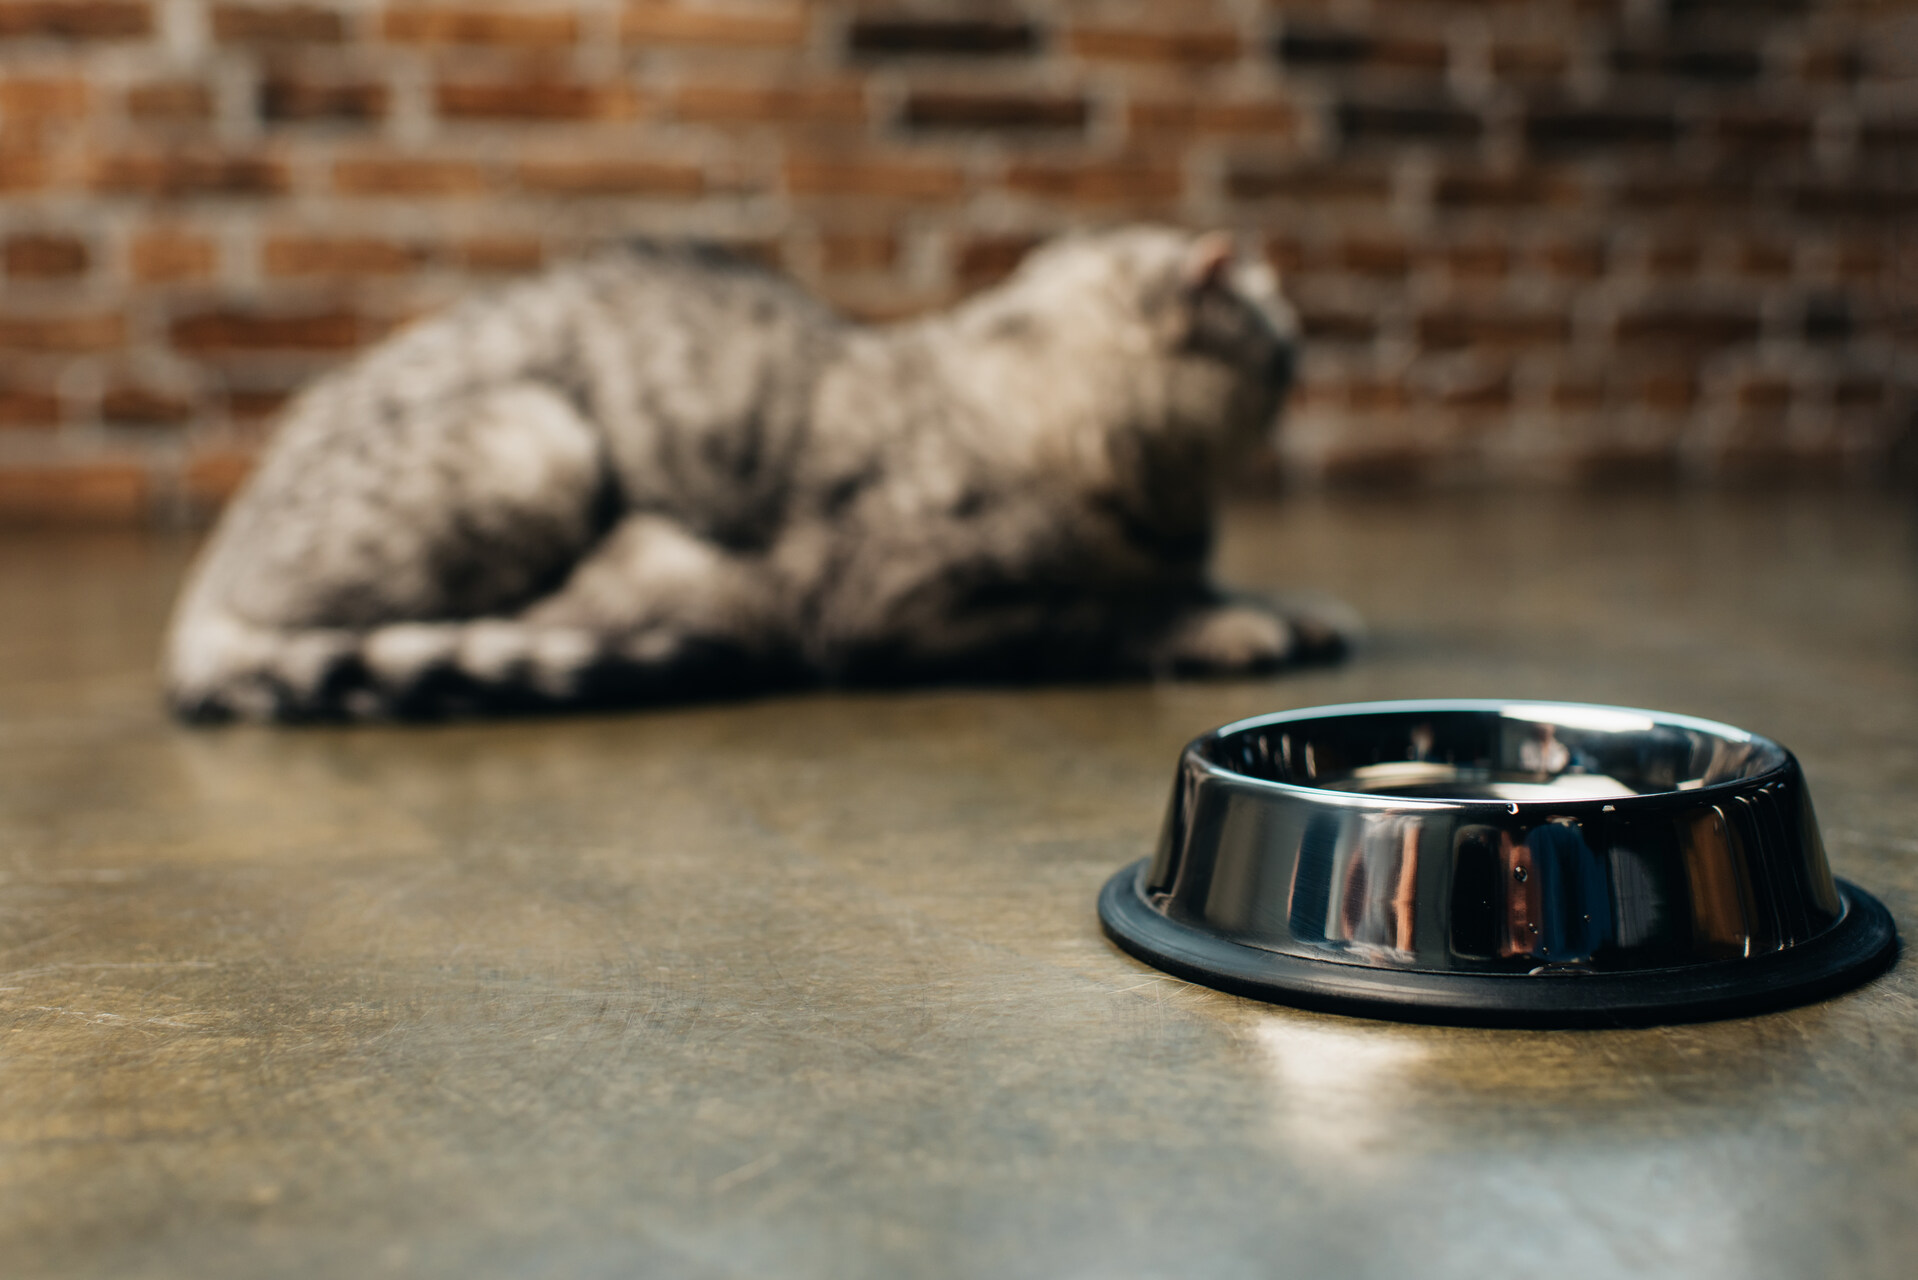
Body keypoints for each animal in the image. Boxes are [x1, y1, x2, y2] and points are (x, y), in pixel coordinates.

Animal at [172, 222, 1357, 721]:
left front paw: (1281, 604)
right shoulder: (901, 605)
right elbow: (1108, 613)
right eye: (1286, 348)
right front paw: (1223, 624)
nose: (1306, 363)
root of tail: (202, 584)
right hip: (534, 441)